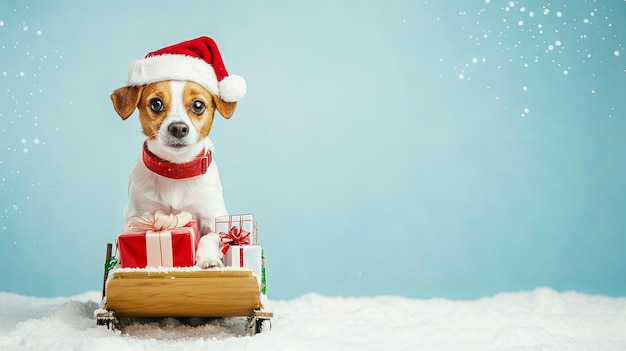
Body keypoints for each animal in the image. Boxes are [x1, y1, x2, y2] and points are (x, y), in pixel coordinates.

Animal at [108, 37, 245, 270]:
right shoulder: (138, 215)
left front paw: (208, 259)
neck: (175, 170)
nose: (179, 128)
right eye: (156, 103)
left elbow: (209, 237)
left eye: (198, 105)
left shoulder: (213, 219)